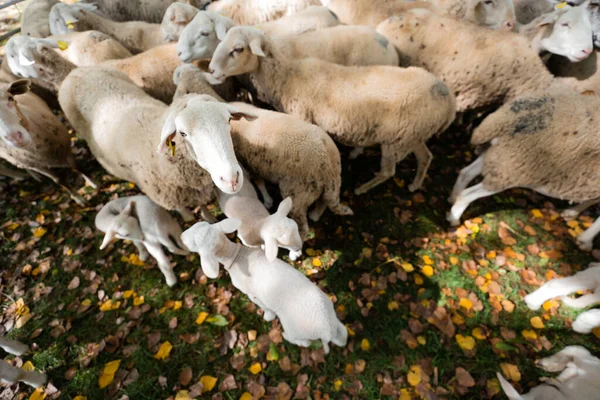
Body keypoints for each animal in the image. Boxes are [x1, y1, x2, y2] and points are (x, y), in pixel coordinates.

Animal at [60, 67, 255, 220]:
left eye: (229, 120)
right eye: (183, 133)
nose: (231, 179)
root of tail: (76, 71)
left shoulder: (192, 193)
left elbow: (203, 208)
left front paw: (210, 219)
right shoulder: (172, 200)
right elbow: (189, 218)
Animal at [172, 65, 352, 238]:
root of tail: (328, 159)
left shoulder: (246, 163)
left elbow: (258, 181)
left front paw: (267, 201)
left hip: (298, 193)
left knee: (303, 224)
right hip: (326, 185)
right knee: (324, 202)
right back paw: (315, 214)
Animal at [179, 219, 346, 354]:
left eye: (195, 244)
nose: (181, 236)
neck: (236, 255)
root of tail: (326, 329)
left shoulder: (251, 293)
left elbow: (263, 306)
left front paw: (268, 316)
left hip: (296, 328)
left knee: (303, 342)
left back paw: (286, 336)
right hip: (332, 316)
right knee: (342, 334)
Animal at [206, 25, 454, 195]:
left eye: (238, 49)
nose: (211, 69)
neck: (288, 75)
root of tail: (448, 101)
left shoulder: (303, 117)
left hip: (396, 140)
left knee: (388, 171)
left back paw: (362, 188)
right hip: (414, 134)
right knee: (426, 156)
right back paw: (415, 184)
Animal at [448, 91, 600, 253]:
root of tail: (504, 118)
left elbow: (592, 200)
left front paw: (572, 212)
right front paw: (585, 240)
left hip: (499, 156)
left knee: (465, 173)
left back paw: (452, 197)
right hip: (512, 169)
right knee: (467, 194)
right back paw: (453, 217)